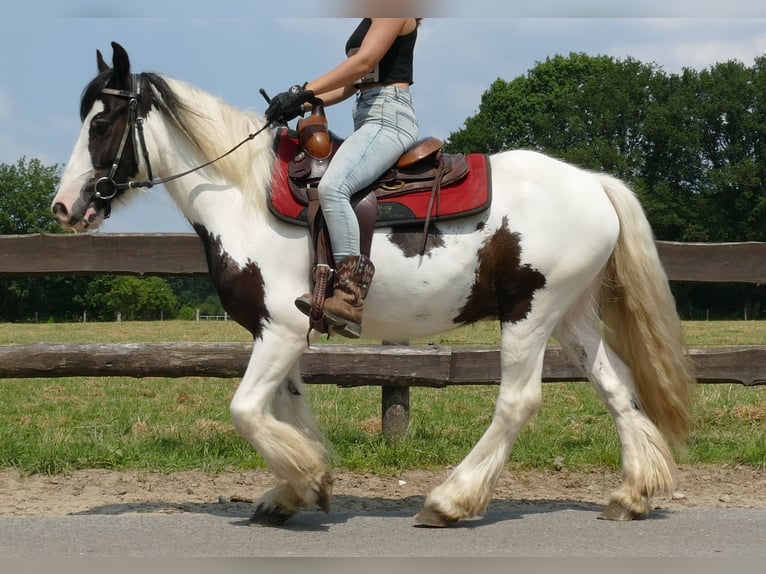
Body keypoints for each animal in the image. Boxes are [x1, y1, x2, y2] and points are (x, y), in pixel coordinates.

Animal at [51, 44, 692, 532]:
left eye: (101, 123)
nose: (65, 207)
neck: (244, 197)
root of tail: (594, 183)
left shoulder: (281, 329)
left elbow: (246, 410)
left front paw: (305, 477)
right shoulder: (284, 333)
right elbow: (287, 405)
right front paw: (295, 489)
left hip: (529, 313)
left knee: (518, 402)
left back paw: (450, 501)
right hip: (571, 314)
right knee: (616, 385)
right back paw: (632, 495)